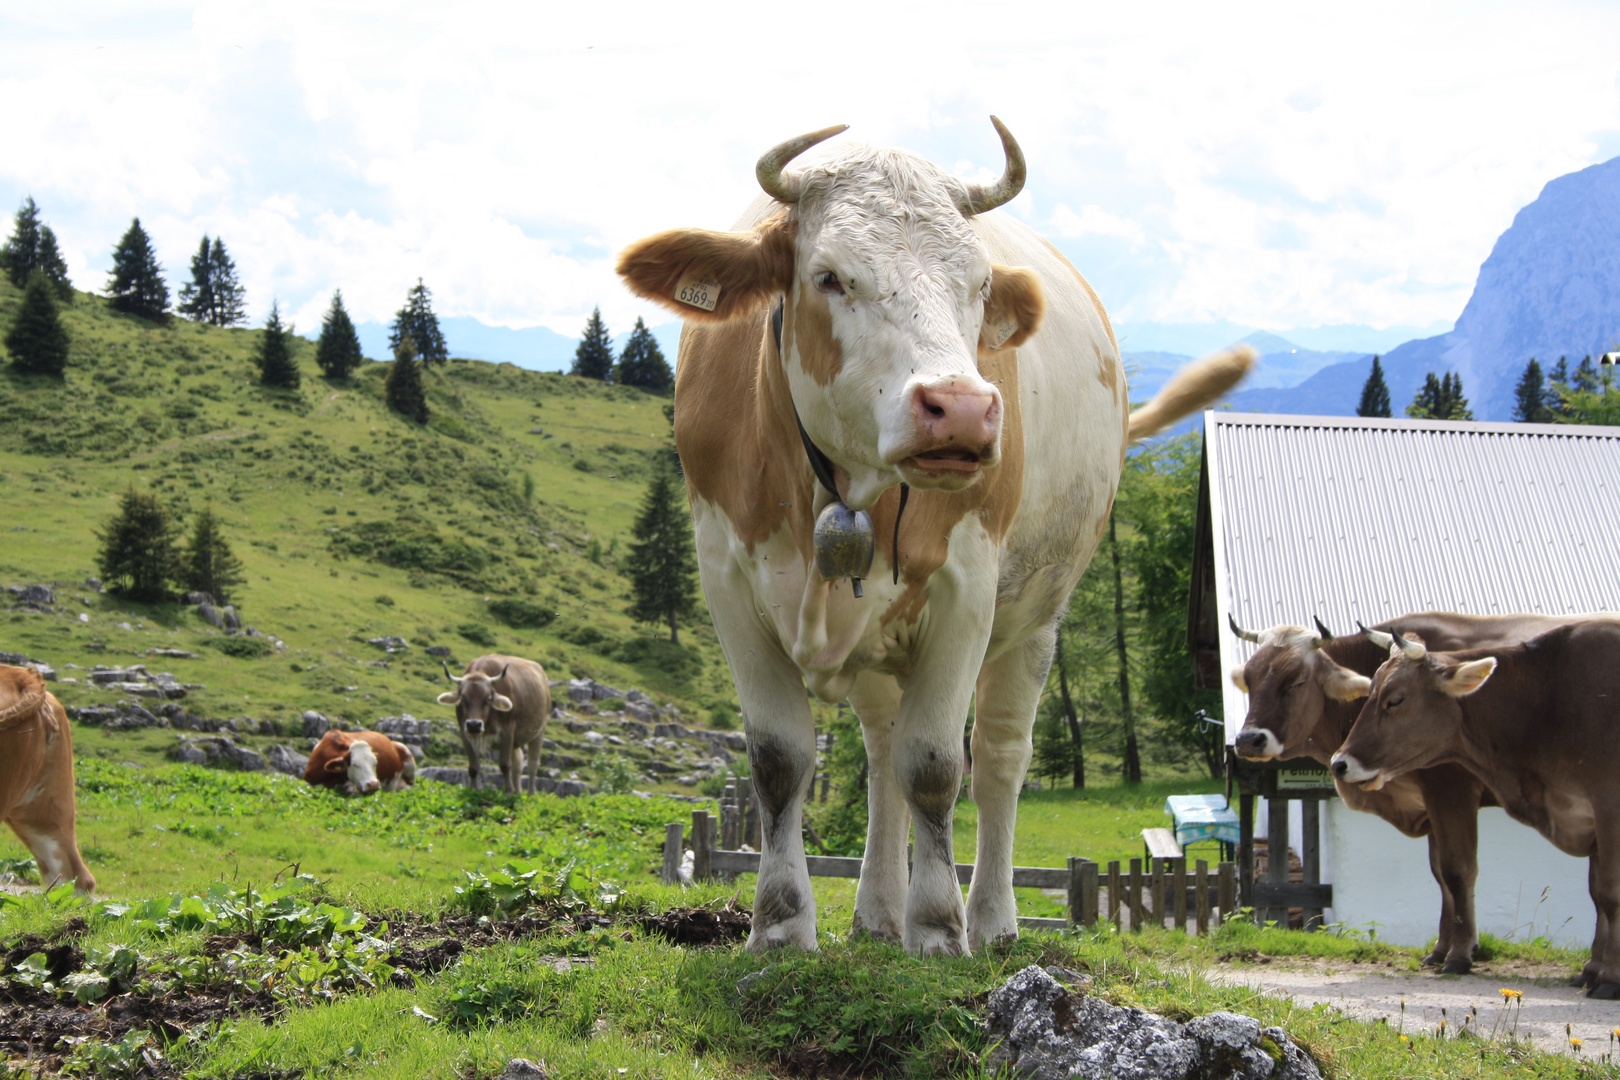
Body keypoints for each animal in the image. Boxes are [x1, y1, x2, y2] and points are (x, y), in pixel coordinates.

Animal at [437, 654, 550, 799]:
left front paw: (508, 791)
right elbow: (473, 767)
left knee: (532, 764)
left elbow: (505, 764)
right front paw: (473, 790)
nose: (474, 724)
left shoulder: (508, 730)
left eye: (488, 699)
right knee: (518, 764)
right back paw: (518, 793)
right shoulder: (465, 733)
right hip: (516, 742)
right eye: (463, 699)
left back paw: (531, 794)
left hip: (539, 731)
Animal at [1224, 612, 1581, 977]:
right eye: (1250, 679)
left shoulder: (1451, 791)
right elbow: (1440, 874)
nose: (1248, 740)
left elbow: (1457, 870)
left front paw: (1460, 954)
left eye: (1295, 681)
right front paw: (1441, 949)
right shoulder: (1432, 805)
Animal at [1328, 621, 1620, 1003]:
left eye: (1395, 699)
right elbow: (1597, 893)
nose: (1340, 763)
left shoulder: (1607, 806)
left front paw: (1610, 977)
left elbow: (1610, 893)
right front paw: (1592, 970)